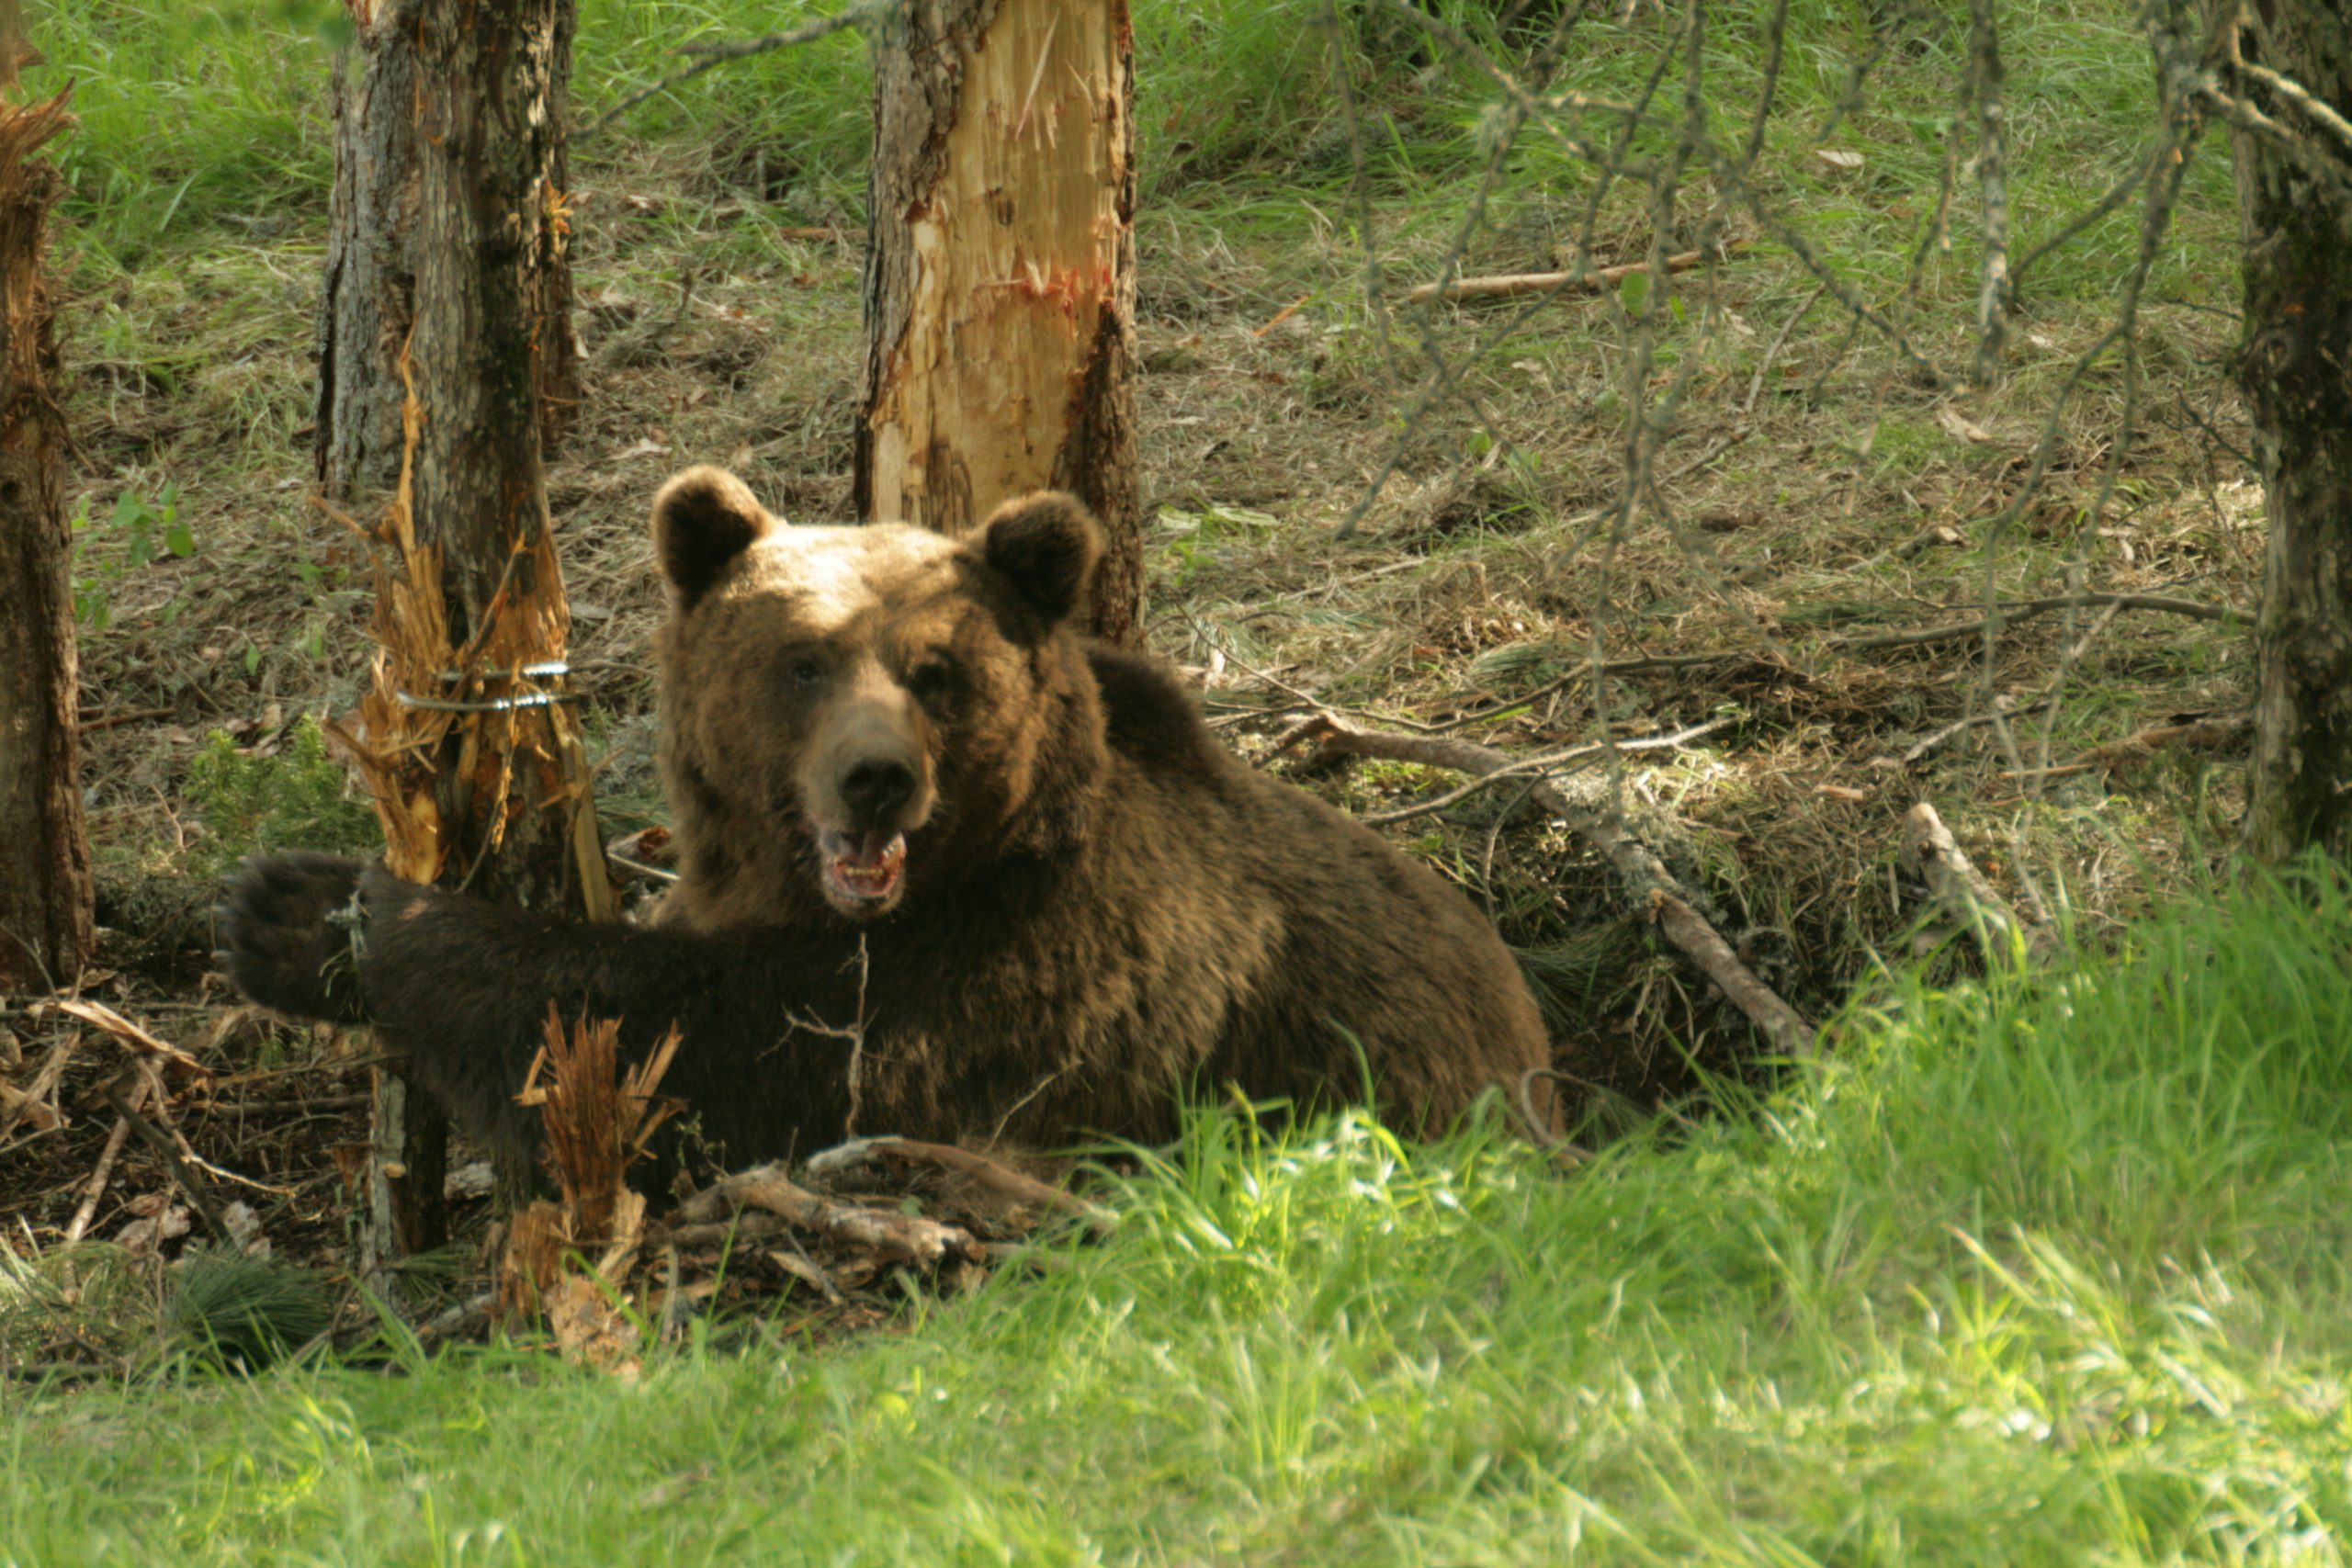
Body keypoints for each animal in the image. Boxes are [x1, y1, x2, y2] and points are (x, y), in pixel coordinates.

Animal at [216, 472, 1543, 1170]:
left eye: (936, 671)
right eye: (802, 661)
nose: (876, 780)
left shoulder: (1009, 988)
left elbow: (678, 1060)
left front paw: (314, 910)